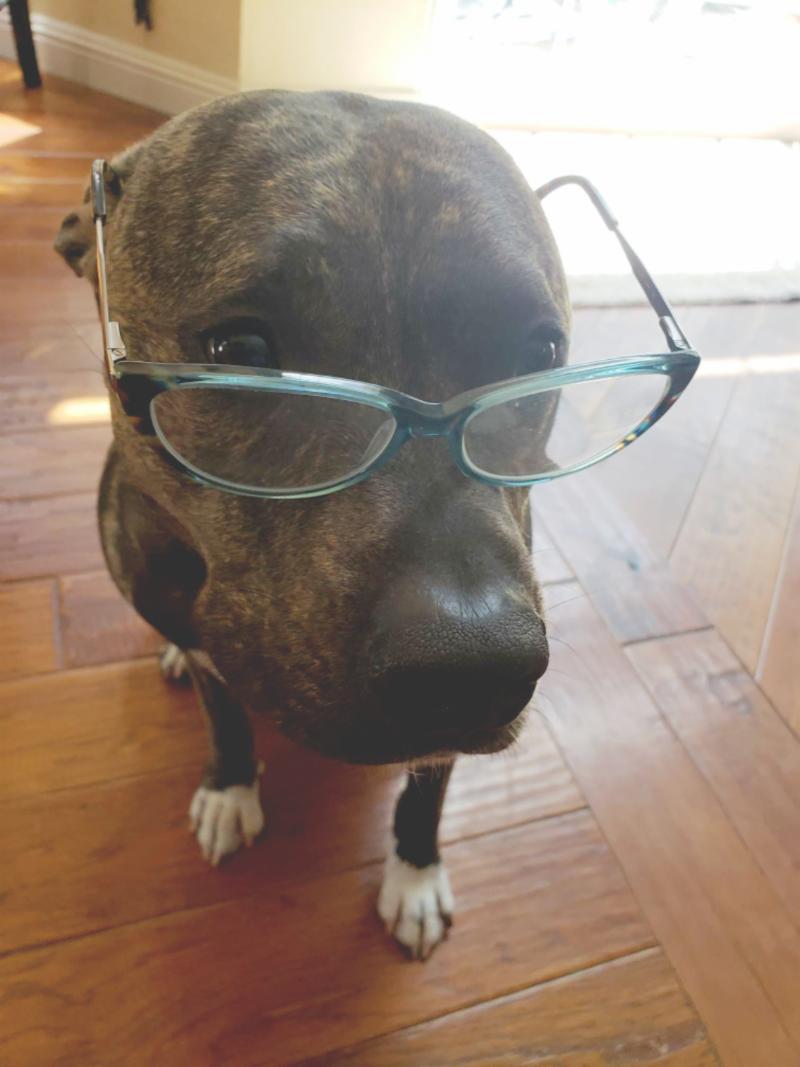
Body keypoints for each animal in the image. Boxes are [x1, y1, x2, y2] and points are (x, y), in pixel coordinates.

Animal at [54, 91, 566, 960]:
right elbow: (225, 718)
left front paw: (415, 870)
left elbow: (429, 784)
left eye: (541, 353)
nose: (474, 667)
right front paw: (231, 789)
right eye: (239, 349)